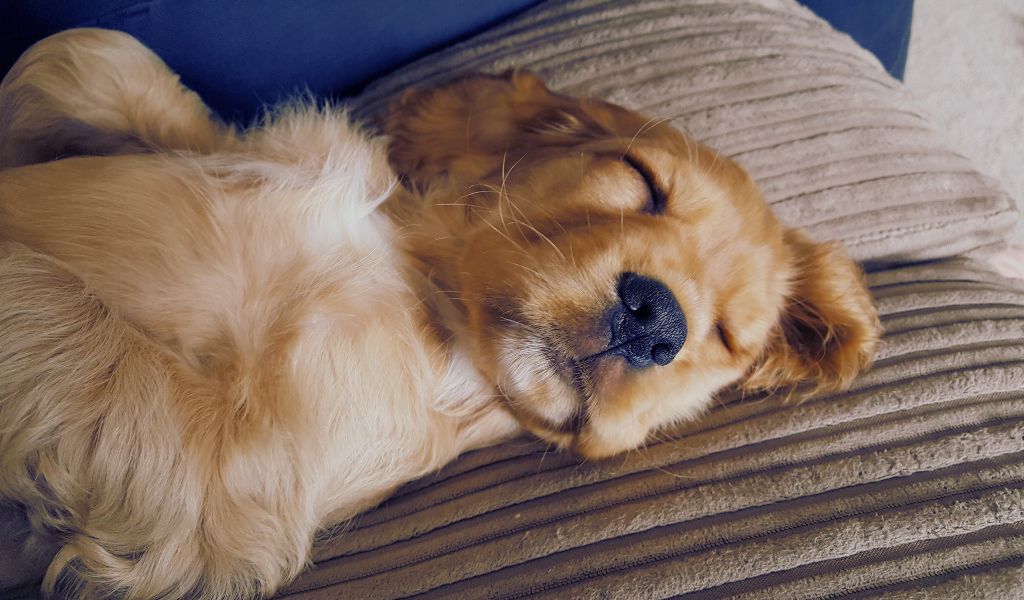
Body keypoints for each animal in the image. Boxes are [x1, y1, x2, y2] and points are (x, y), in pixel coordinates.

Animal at [0, 30, 880, 597]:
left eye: (726, 336)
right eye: (642, 181)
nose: (657, 322)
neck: (422, 277)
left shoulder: (230, 481)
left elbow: (57, 308)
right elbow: (98, 54)